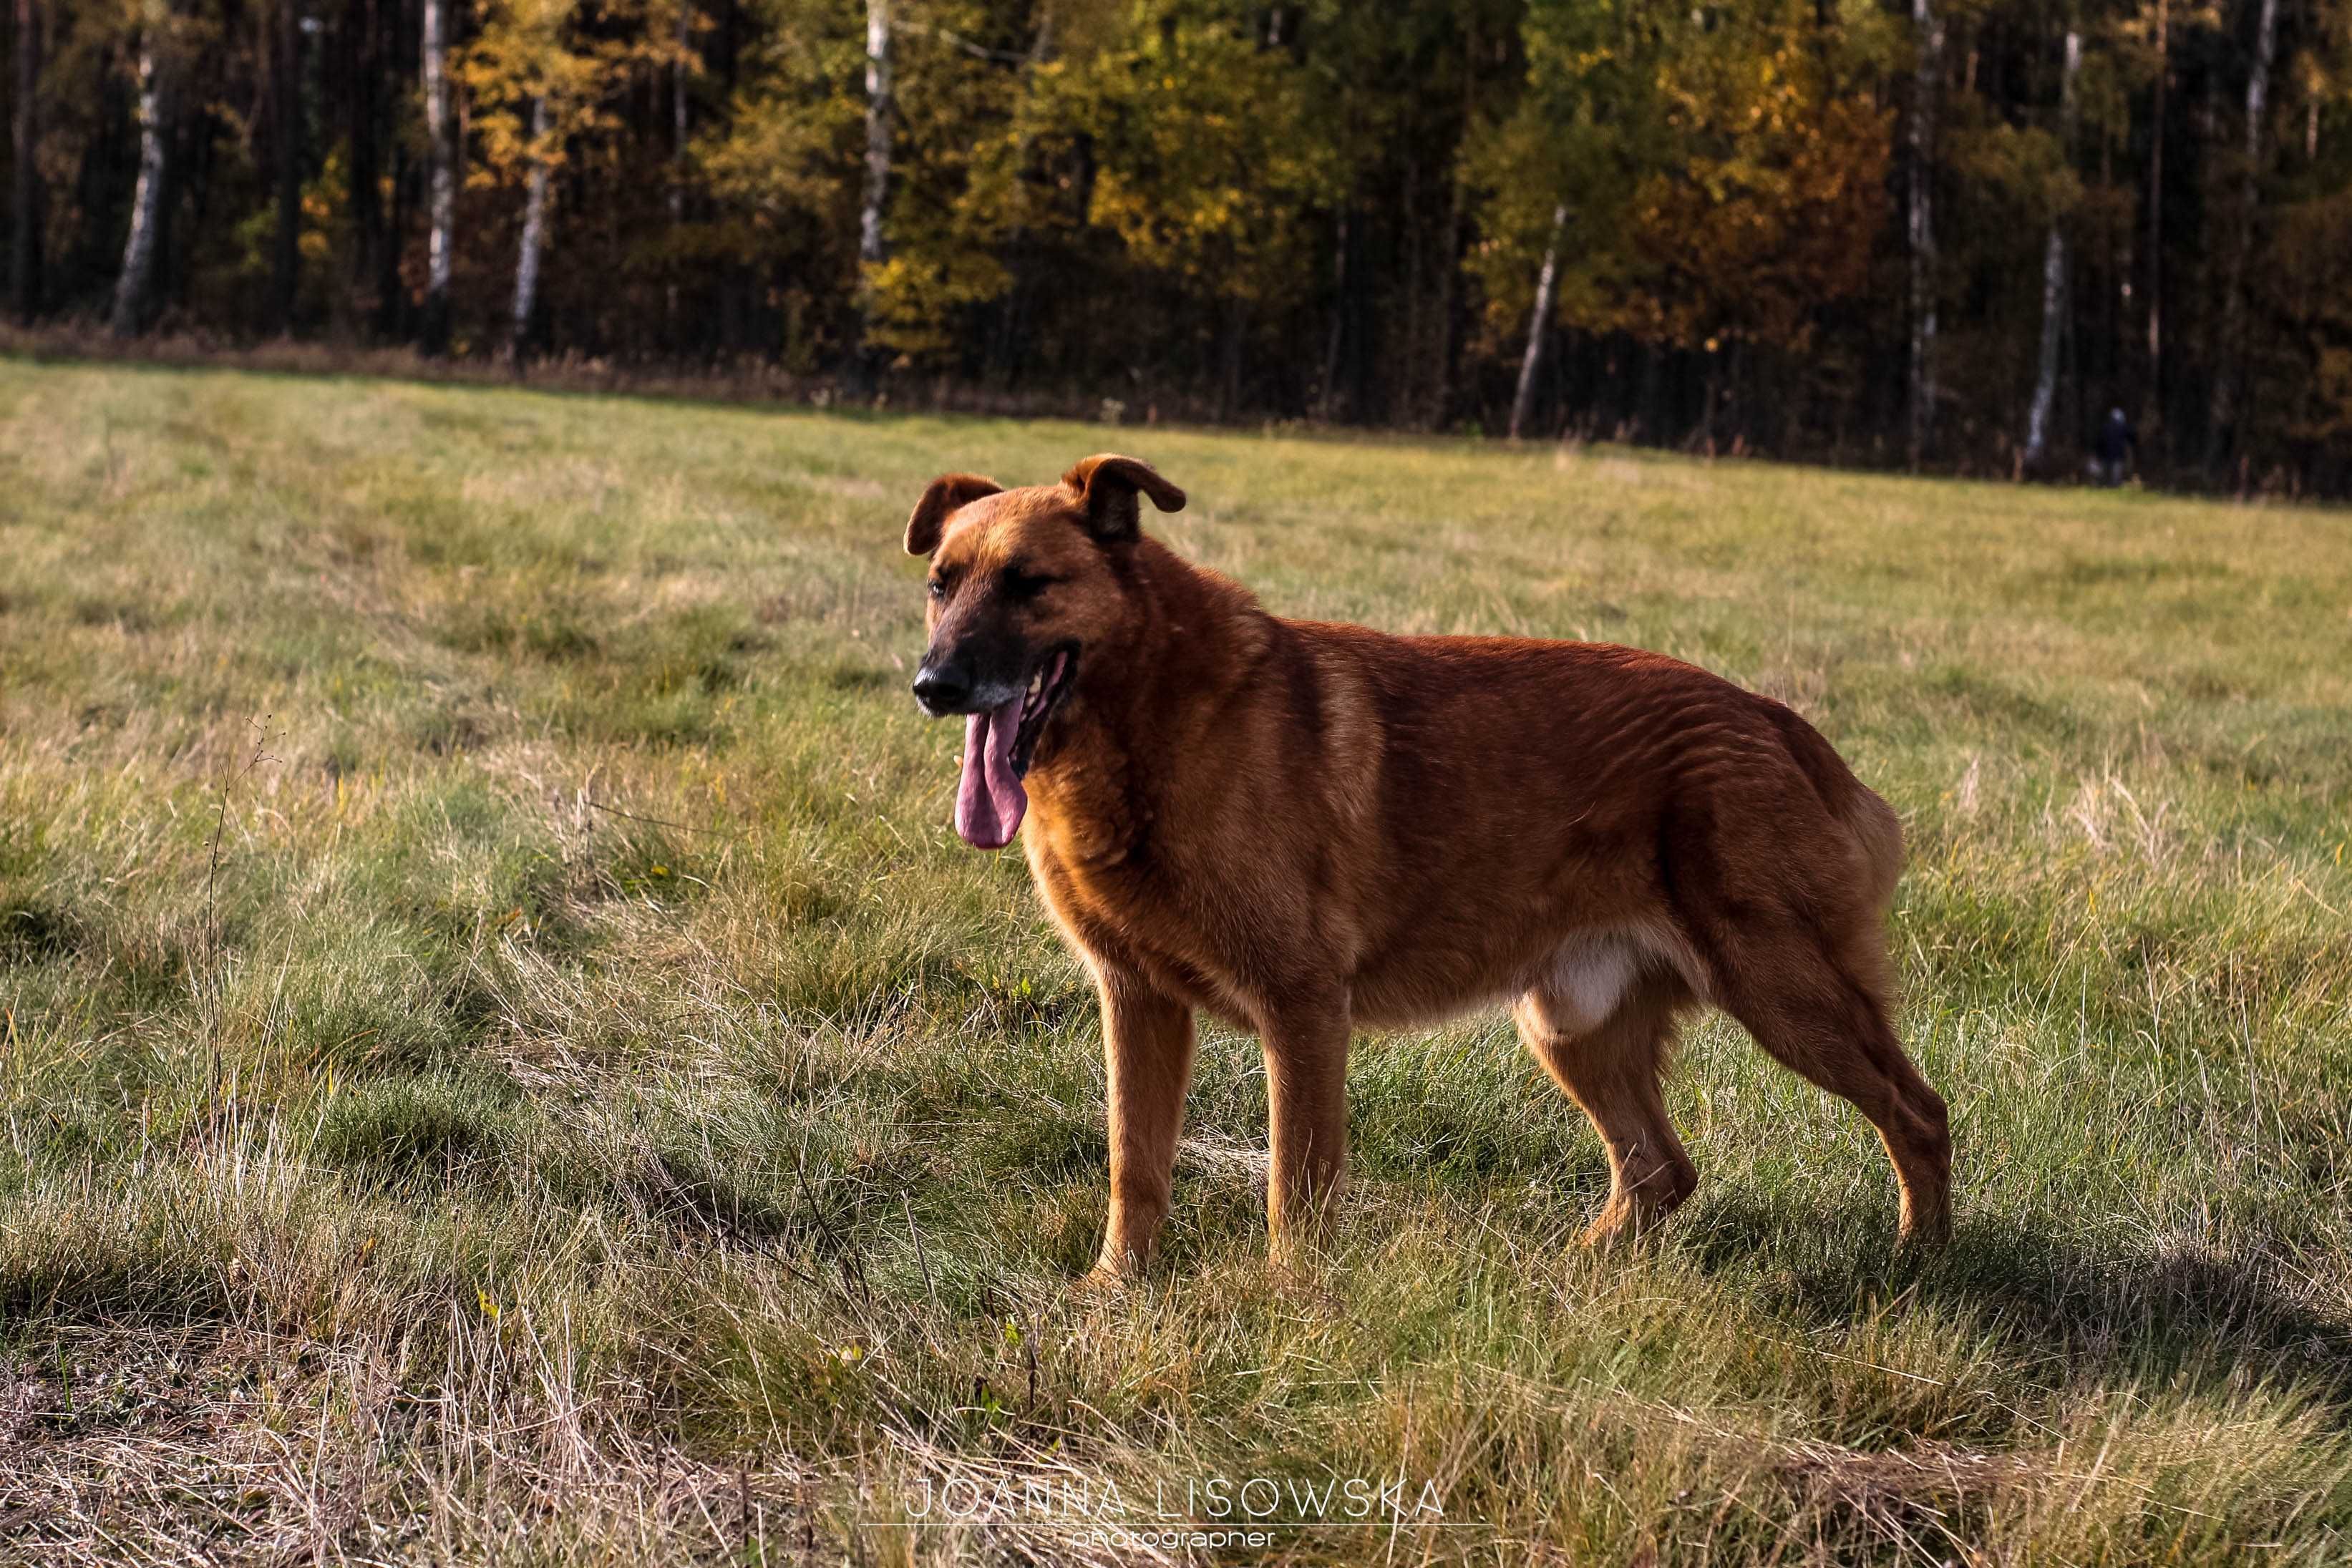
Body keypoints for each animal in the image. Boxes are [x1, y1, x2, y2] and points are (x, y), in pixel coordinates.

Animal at [898, 451, 1947, 1278]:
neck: (1147, 721)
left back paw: (1921, 1265)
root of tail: (1776, 722)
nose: (933, 685)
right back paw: (1566, 1273)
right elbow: (1135, 1163)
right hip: (1572, 1025)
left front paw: (1291, 1309)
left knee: (1917, 1111)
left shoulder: (1301, 1009)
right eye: (941, 585)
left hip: (1783, 994)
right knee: (1659, 1167)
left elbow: (1295, 1188)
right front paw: (1116, 1291)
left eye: (1030, 583)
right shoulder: (1136, 999)